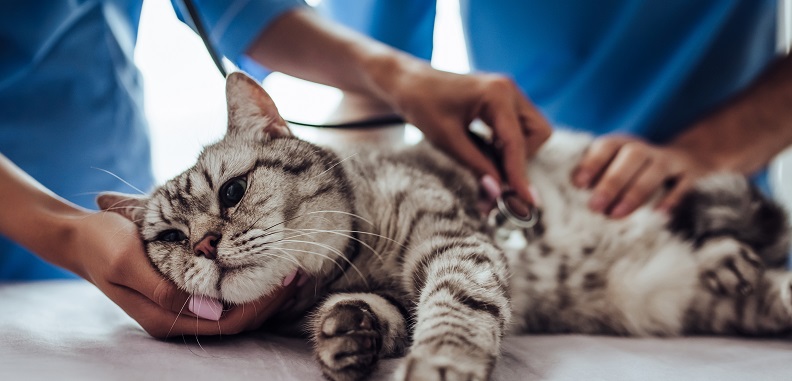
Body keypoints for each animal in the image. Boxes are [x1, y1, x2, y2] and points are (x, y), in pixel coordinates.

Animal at [97, 72, 792, 380]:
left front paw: (443, 358)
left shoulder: (457, 241)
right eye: (170, 239)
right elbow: (379, 314)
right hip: (674, 295)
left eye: (233, 191)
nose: (204, 243)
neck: (351, 264)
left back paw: (725, 249)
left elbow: (457, 302)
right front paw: (348, 333)